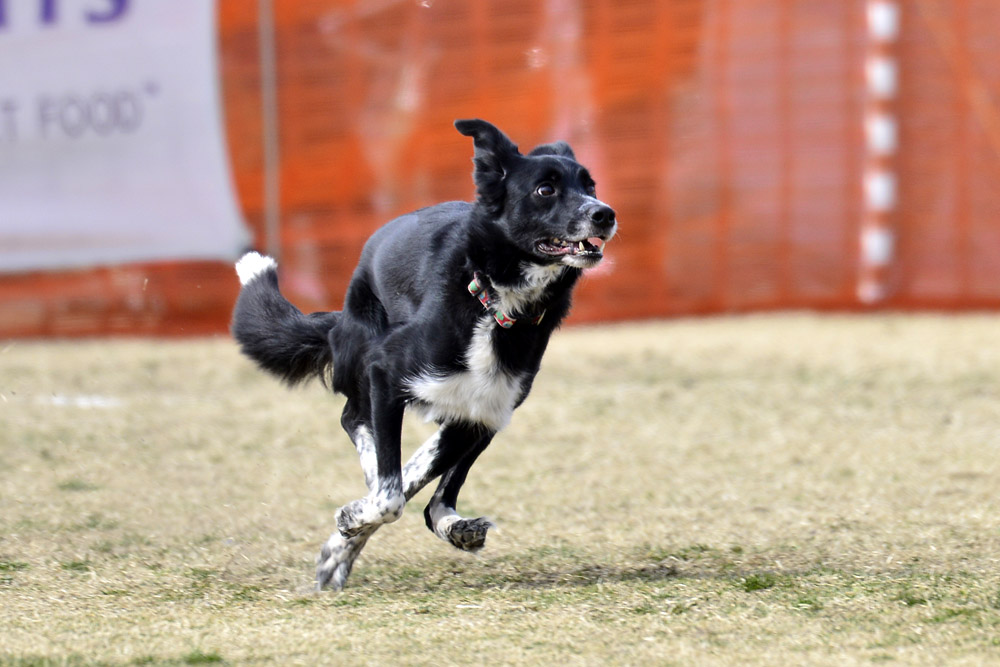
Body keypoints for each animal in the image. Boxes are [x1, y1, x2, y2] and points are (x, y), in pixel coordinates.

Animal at [230, 118, 612, 588]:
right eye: (546, 189)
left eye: (590, 185)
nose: (605, 213)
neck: (495, 297)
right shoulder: (386, 370)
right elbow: (389, 495)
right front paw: (354, 516)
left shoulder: (485, 408)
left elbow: (412, 479)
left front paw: (349, 534)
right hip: (366, 357)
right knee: (357, 425)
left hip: (480, 416)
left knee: (429, 492)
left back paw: (437, 528)